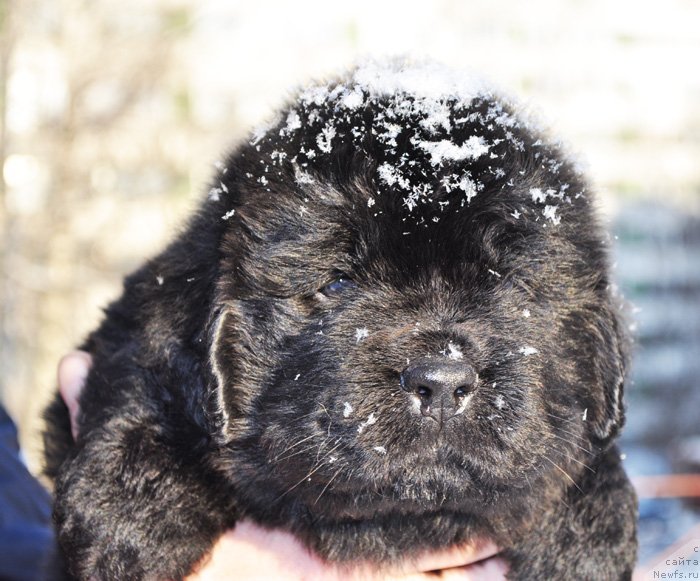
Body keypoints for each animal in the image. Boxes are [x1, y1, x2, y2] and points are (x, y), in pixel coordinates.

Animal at [41, 61, 636, 576]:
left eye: (507, 283)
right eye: (337, 283)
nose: (442, 381)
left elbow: (586, 463)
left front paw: (585, 541)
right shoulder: (138, 332)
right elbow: (141, 393)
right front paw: (127, 529)